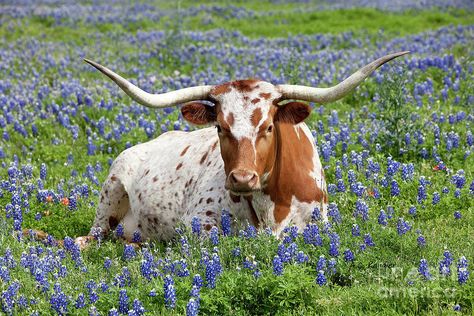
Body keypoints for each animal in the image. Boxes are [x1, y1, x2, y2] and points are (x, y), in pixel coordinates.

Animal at [79, 51, 410, 242]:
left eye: (268, 127)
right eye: (220, 127)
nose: (241, 178)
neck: (271, 203)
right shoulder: (198, 223)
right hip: (109, 195)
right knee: (90, 239)